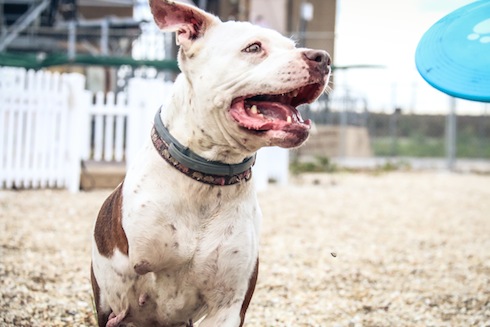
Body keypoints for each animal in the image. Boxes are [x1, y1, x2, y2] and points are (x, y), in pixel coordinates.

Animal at [90, 1, 332, 326]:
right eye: (254, 47)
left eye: (292, 46)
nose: (323, 58)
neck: (206, 177)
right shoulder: (118, 302)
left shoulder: (229, 306)